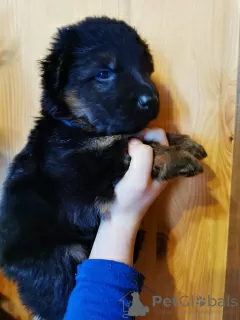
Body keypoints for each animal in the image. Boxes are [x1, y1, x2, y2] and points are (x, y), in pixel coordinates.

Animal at [0, 18, 206, 320]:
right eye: (104, 74)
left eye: (145, 69)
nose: (151, 100)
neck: (79, 127)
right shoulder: (78, 179)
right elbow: (123, 146)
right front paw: (176, 155)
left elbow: (138, 134)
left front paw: (184, 142)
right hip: (61, 258)